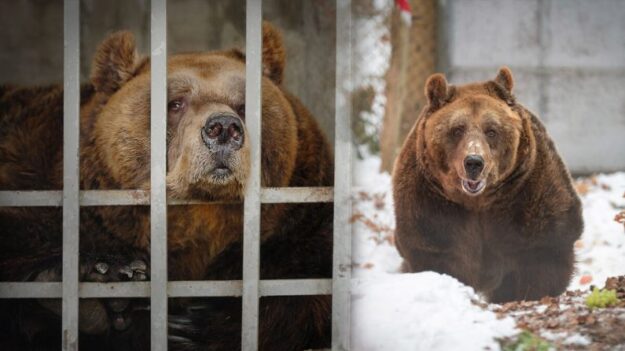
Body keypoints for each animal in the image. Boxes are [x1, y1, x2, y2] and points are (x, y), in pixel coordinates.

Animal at [0, 23, 334, 350]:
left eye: (244, 104)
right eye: (175, 103)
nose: (224, 127)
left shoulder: (301, 223)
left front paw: (193, 325)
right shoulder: (34, 178)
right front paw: (105, 276)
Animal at [392, 67, 584, 304]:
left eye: (491, 130)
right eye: (457, 129)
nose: (474, 162)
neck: (479, 202)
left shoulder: (528, 193)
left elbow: (541, 251)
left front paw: (522, 293)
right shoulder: (430, 201)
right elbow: (436, 250)